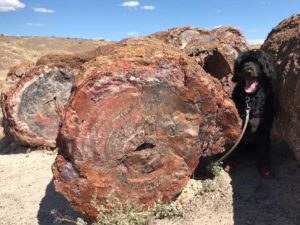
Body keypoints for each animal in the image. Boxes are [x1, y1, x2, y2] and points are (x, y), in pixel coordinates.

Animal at [230, 49, 276, 178]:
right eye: (243, 62)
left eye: (258, 62)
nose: (247, 70)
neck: (251, 98)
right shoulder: (237, 126)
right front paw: (229, 163)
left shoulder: (263, 127)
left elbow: (263, 149)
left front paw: (264, 167)